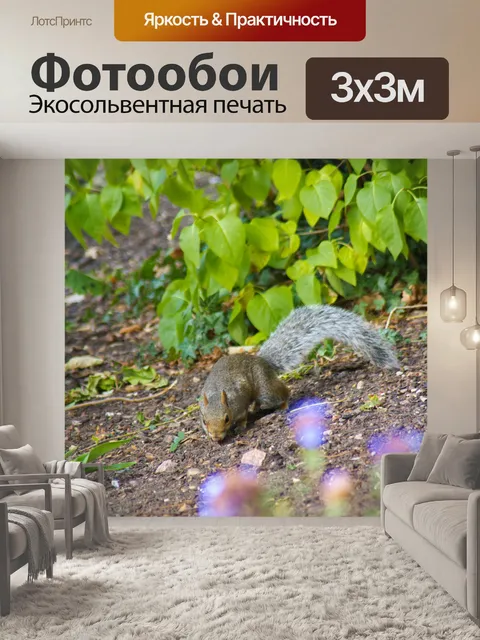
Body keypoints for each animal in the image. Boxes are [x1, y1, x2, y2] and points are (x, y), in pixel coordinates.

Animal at [199, 304, 399, 442]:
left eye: (226, 418)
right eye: (204, 421)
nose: (215, 437)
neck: (218, 394)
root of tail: (262, 361)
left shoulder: (239, 404)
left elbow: (242, 417)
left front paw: (240, 426)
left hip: (265, 390)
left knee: (282, 393)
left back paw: (282, 406)